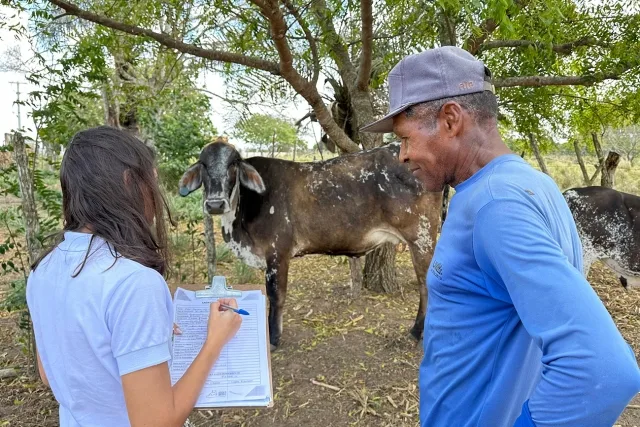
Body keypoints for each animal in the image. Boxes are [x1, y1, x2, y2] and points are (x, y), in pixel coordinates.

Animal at [178, 142, 442, 350]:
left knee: (426, 287)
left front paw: (273, 339)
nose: (214, 204)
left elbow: (276, 296)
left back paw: (415, 333)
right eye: (202, 164)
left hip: (422, 238)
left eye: (233, 164)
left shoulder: (277, 254)